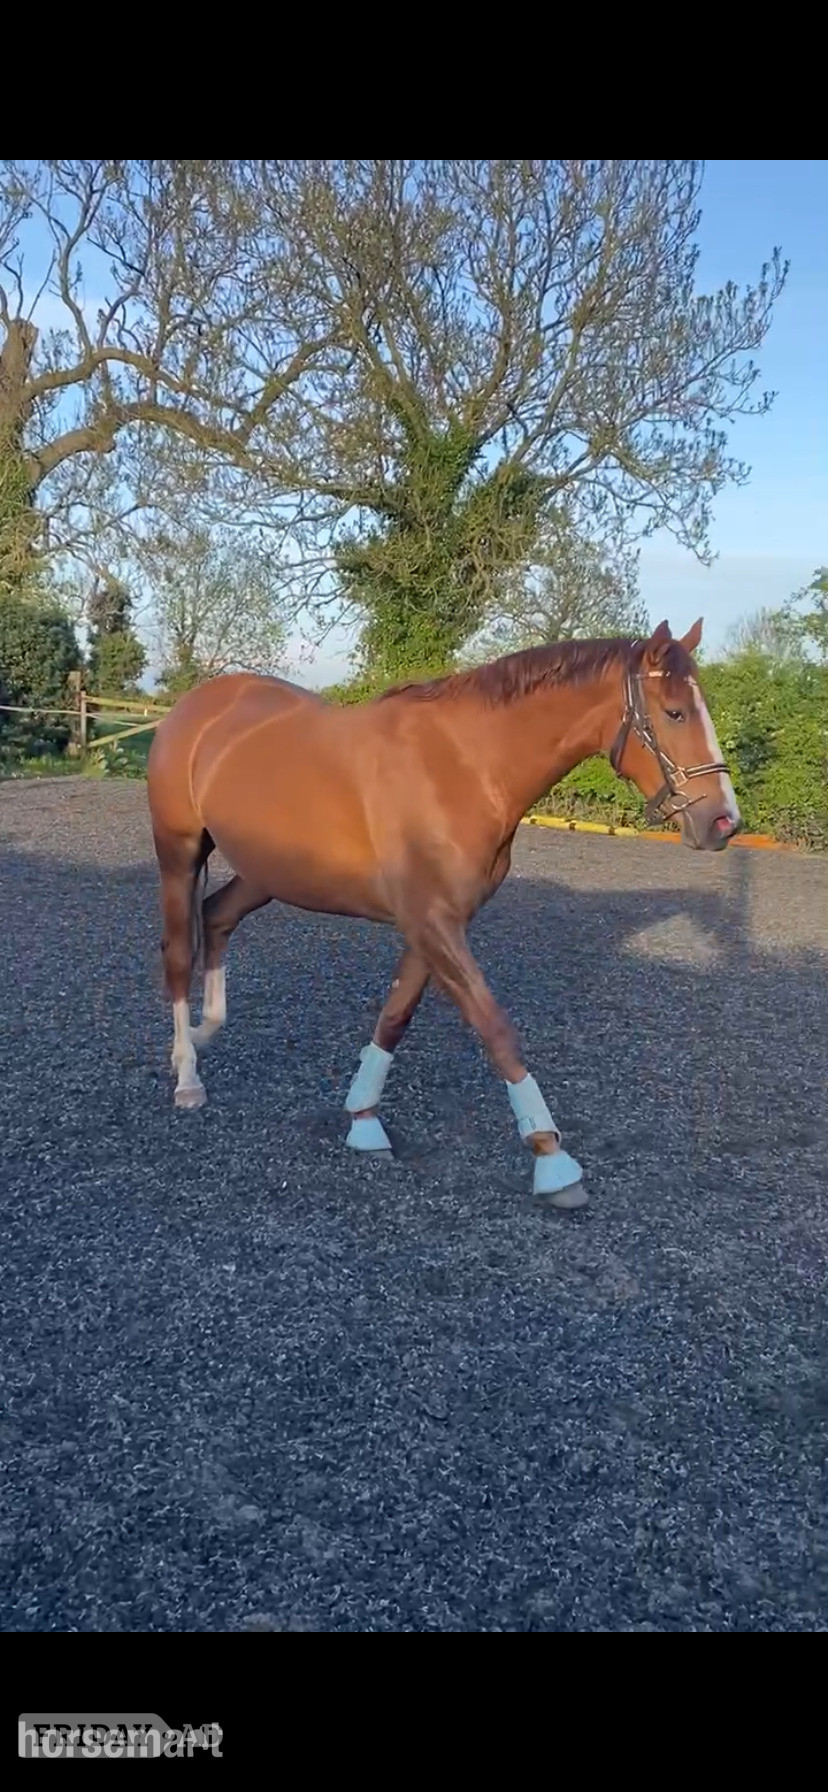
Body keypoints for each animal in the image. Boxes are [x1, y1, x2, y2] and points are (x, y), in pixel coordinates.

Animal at [146, 617, 740, 1207]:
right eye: (675, 712)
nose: (724, 822)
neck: (464, 767)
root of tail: (196, 706)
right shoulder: (432, 921)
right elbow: (494, 1026)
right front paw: (551, 1158)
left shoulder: (434, 922)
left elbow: (395, 1016)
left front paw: (364, 1119)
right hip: (179, 853)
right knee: (177, 953)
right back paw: (187, 1075)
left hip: (268, 872)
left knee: (216, 916)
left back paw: (203, 1031)